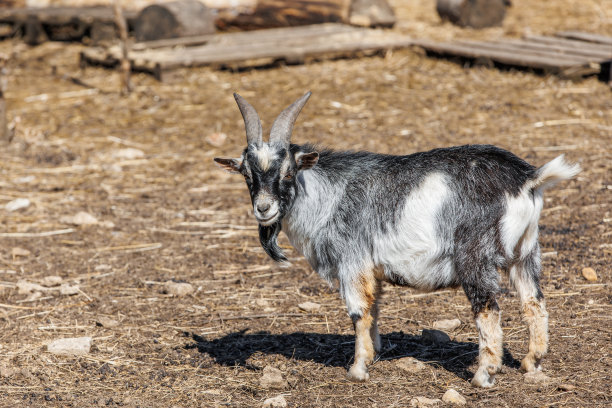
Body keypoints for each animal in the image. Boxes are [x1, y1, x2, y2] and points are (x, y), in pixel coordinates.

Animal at [214, 91, 580, 388]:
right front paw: (373, 354)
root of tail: (528, 178)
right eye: (247, 174)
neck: (329, 195)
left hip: (477, 257)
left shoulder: (352, 260)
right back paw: (531, 363)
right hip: (526, 253)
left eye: (288, 172)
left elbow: (359, 311)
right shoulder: (371, 269)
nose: (264, 208)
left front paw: (358, 368)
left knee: (488, 310)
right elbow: (374, 308)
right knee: (534, 303)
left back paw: (484, 375)